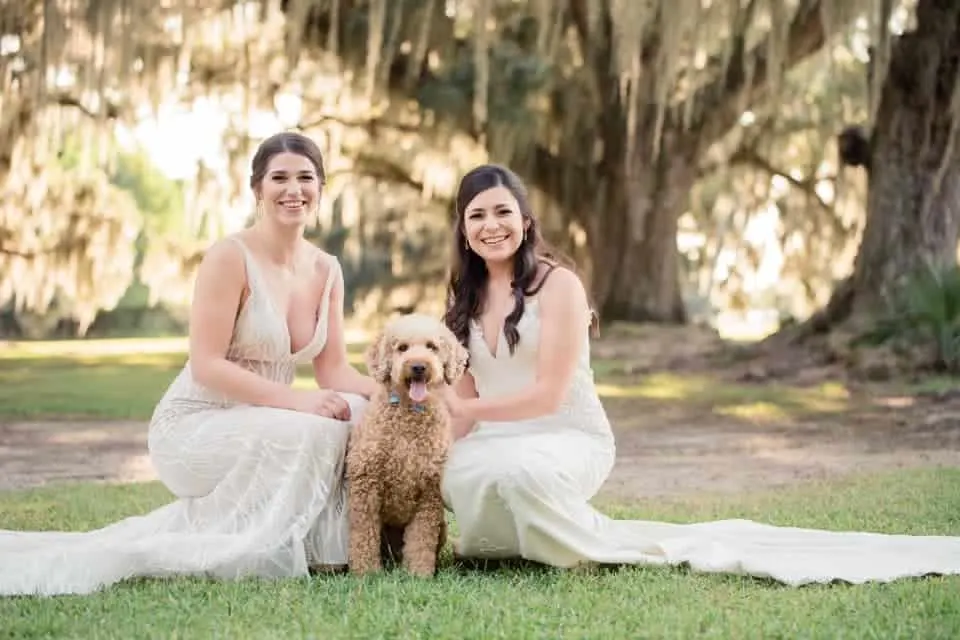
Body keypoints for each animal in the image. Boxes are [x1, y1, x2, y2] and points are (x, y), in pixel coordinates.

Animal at [346, 312, 470, 576]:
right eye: (402, 348)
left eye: (432, 347)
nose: (419, 366)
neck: (409, 414)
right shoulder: (366, 486)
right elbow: (363, 535)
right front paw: (366, 573)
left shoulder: (430, 492)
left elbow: (420, 539)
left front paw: (418, 574)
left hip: (442, 527)